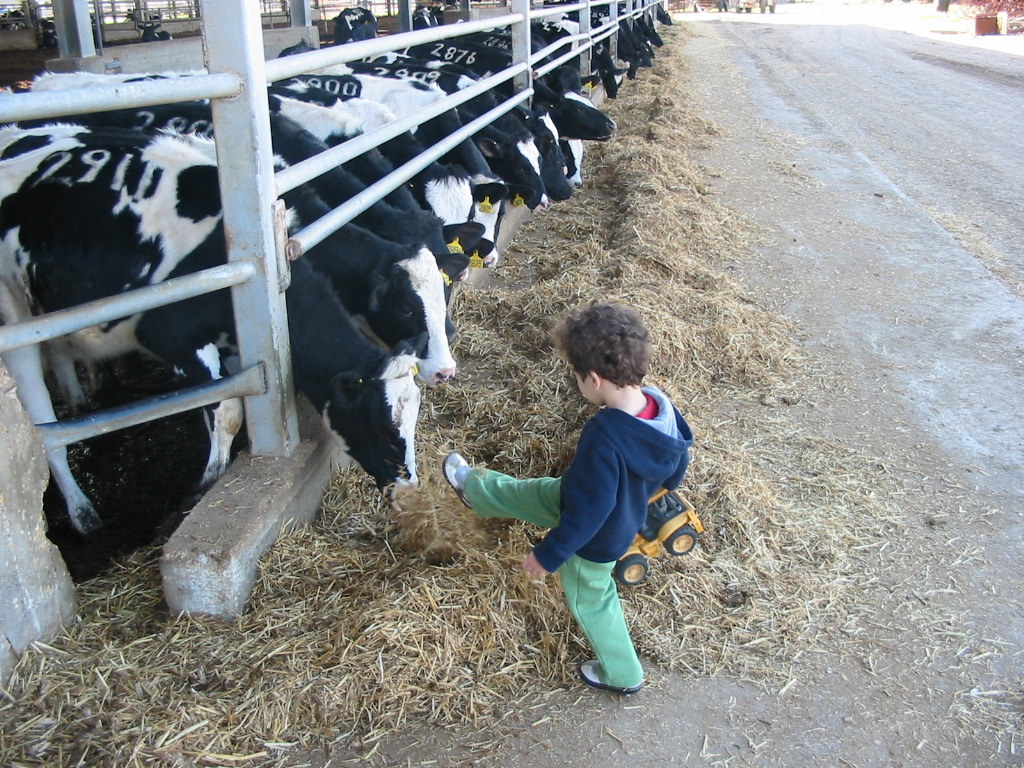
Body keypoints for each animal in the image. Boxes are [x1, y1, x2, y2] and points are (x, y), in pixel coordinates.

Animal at [0, 124, 423, 537]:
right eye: (386, 427)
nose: (410, 491)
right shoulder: (173, 339)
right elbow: (227, 410)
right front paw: (205, 484)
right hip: (15, 324)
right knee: (42, 428)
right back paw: (82, 512)